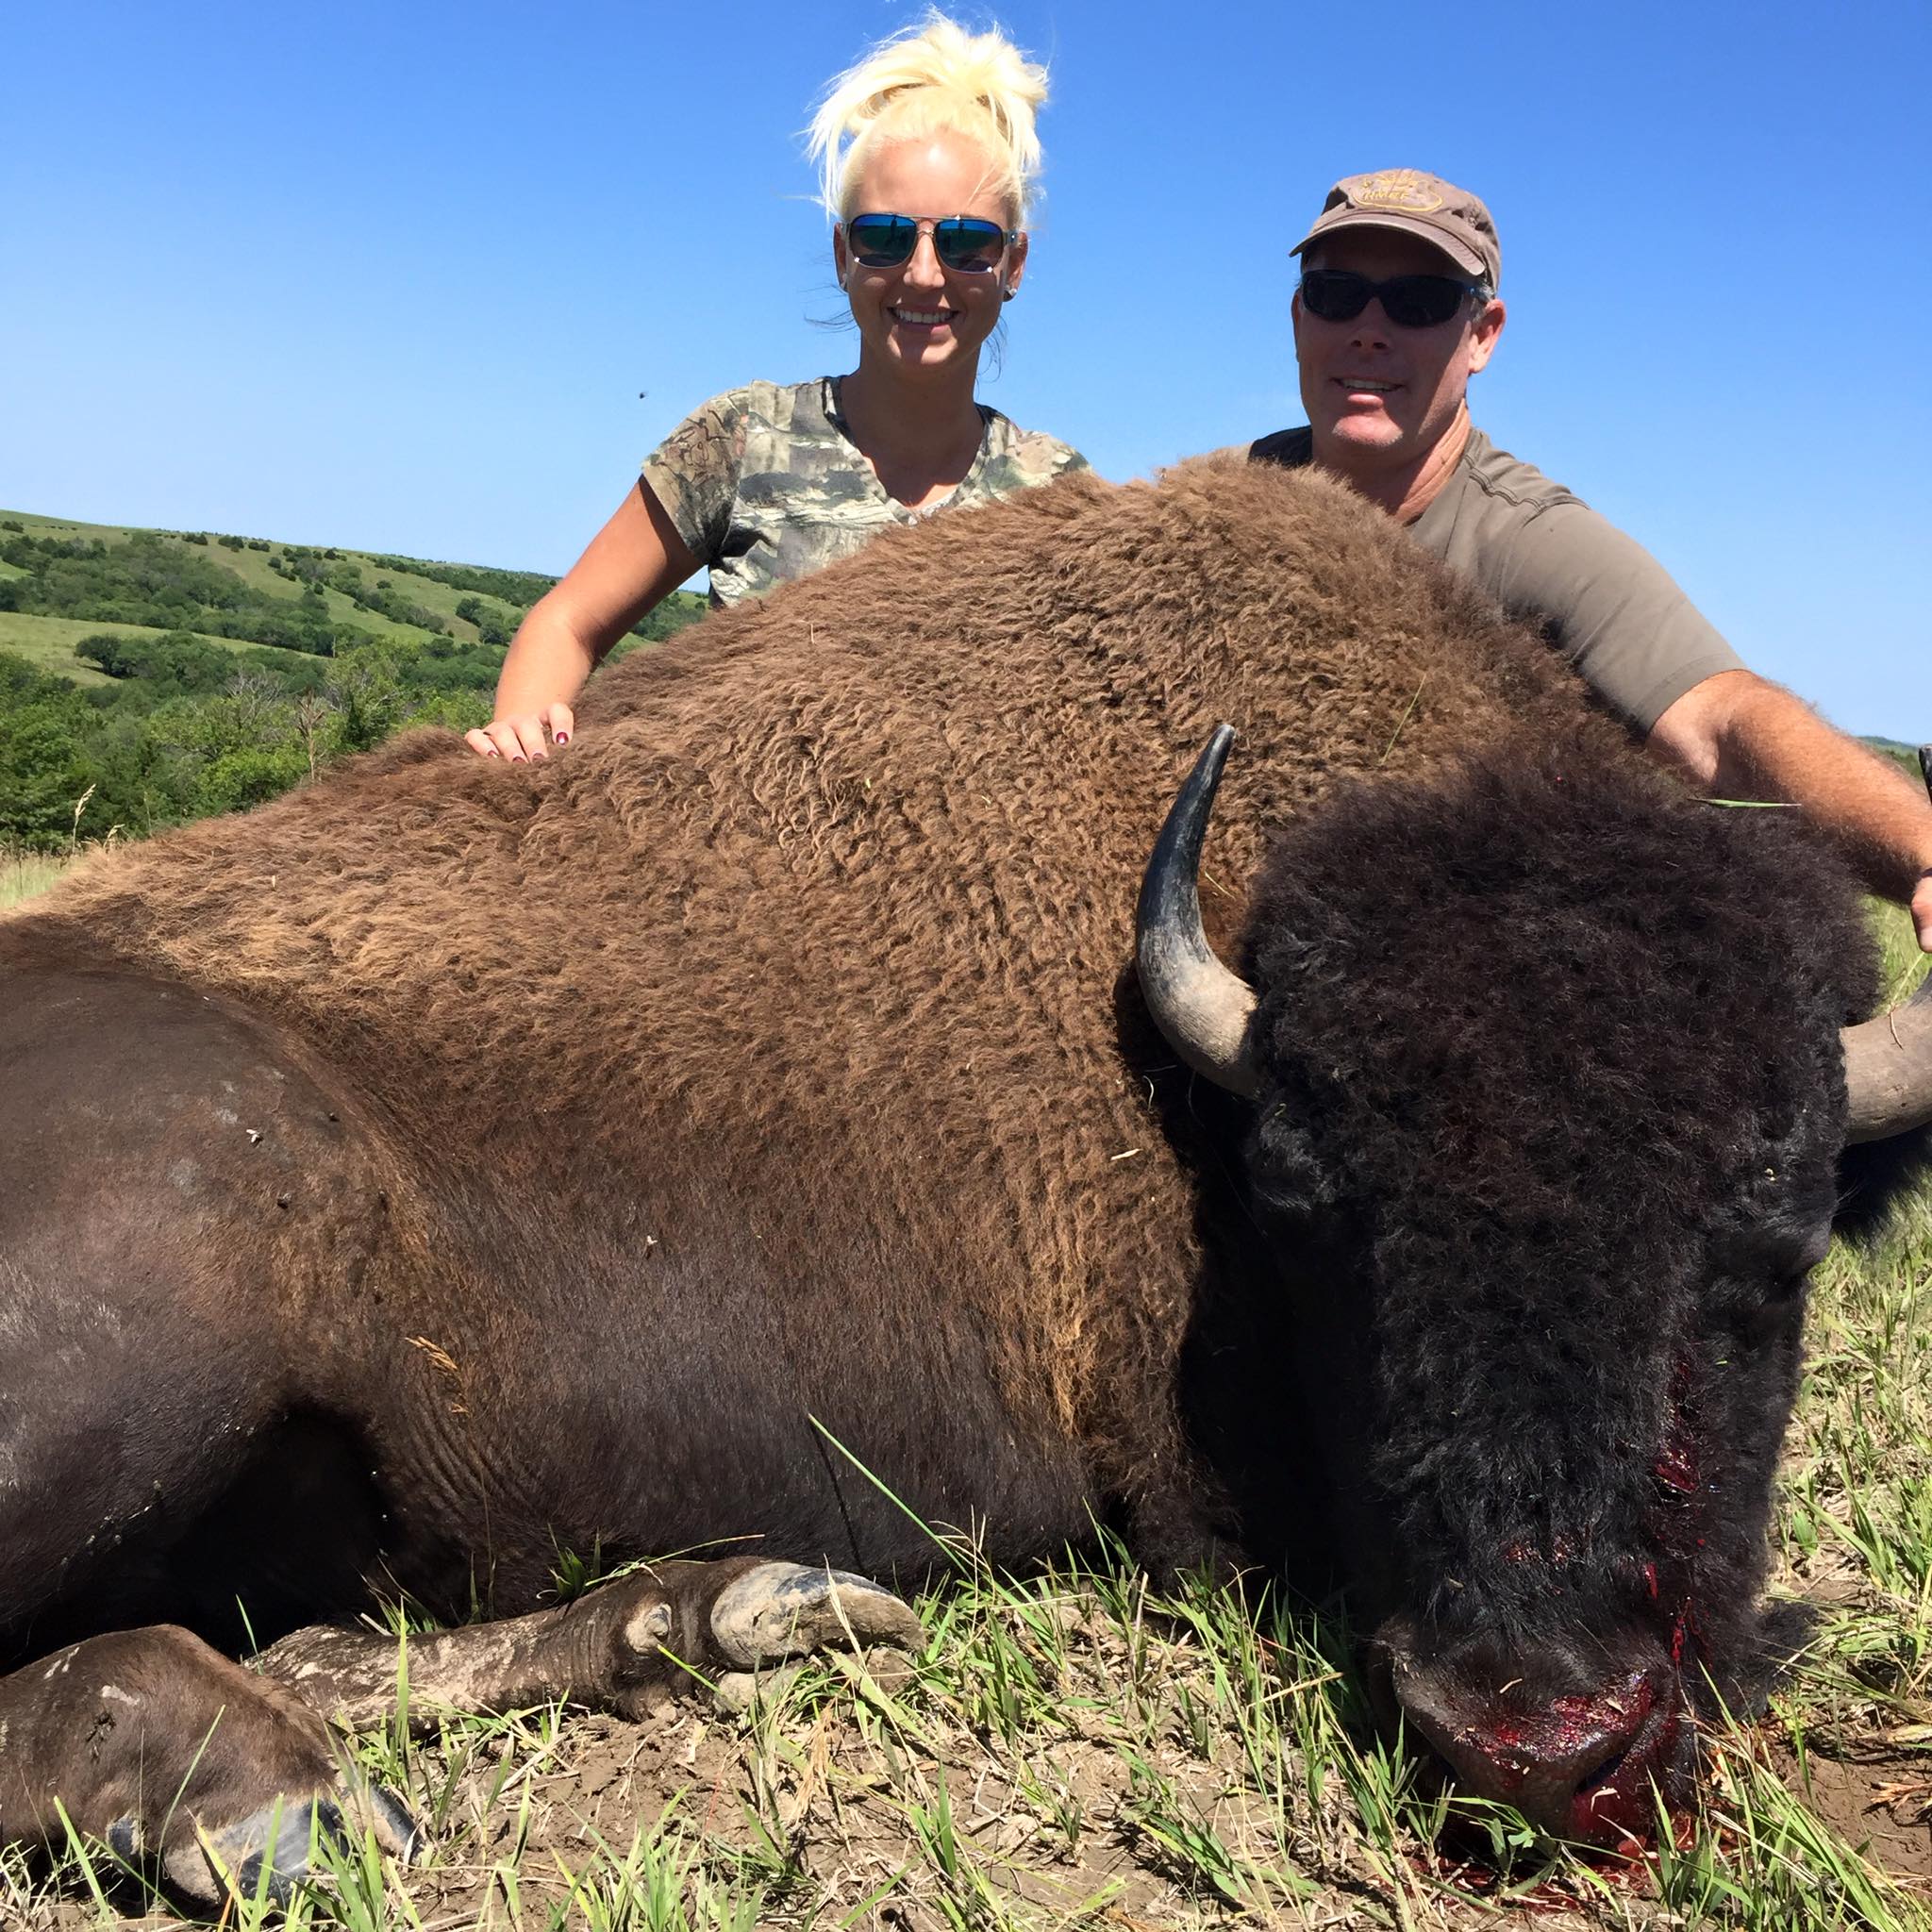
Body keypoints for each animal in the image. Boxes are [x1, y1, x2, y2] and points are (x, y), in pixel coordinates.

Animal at [1, 457, 1927, 1899]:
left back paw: (726, 1610)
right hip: (187, 1270)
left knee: (332, 1636)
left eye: (1774, 1237)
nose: (1543, 1744)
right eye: (1315, 1218)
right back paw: (270, 1801)